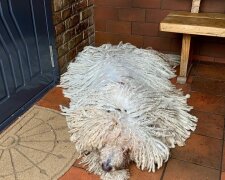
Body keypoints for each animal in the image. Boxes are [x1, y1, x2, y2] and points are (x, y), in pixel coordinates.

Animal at [59, 43, 197, 179]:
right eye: (104, 142)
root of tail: (116, 47)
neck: (121, 109)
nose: (106, 167)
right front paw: (114, 173)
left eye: (125, 147)